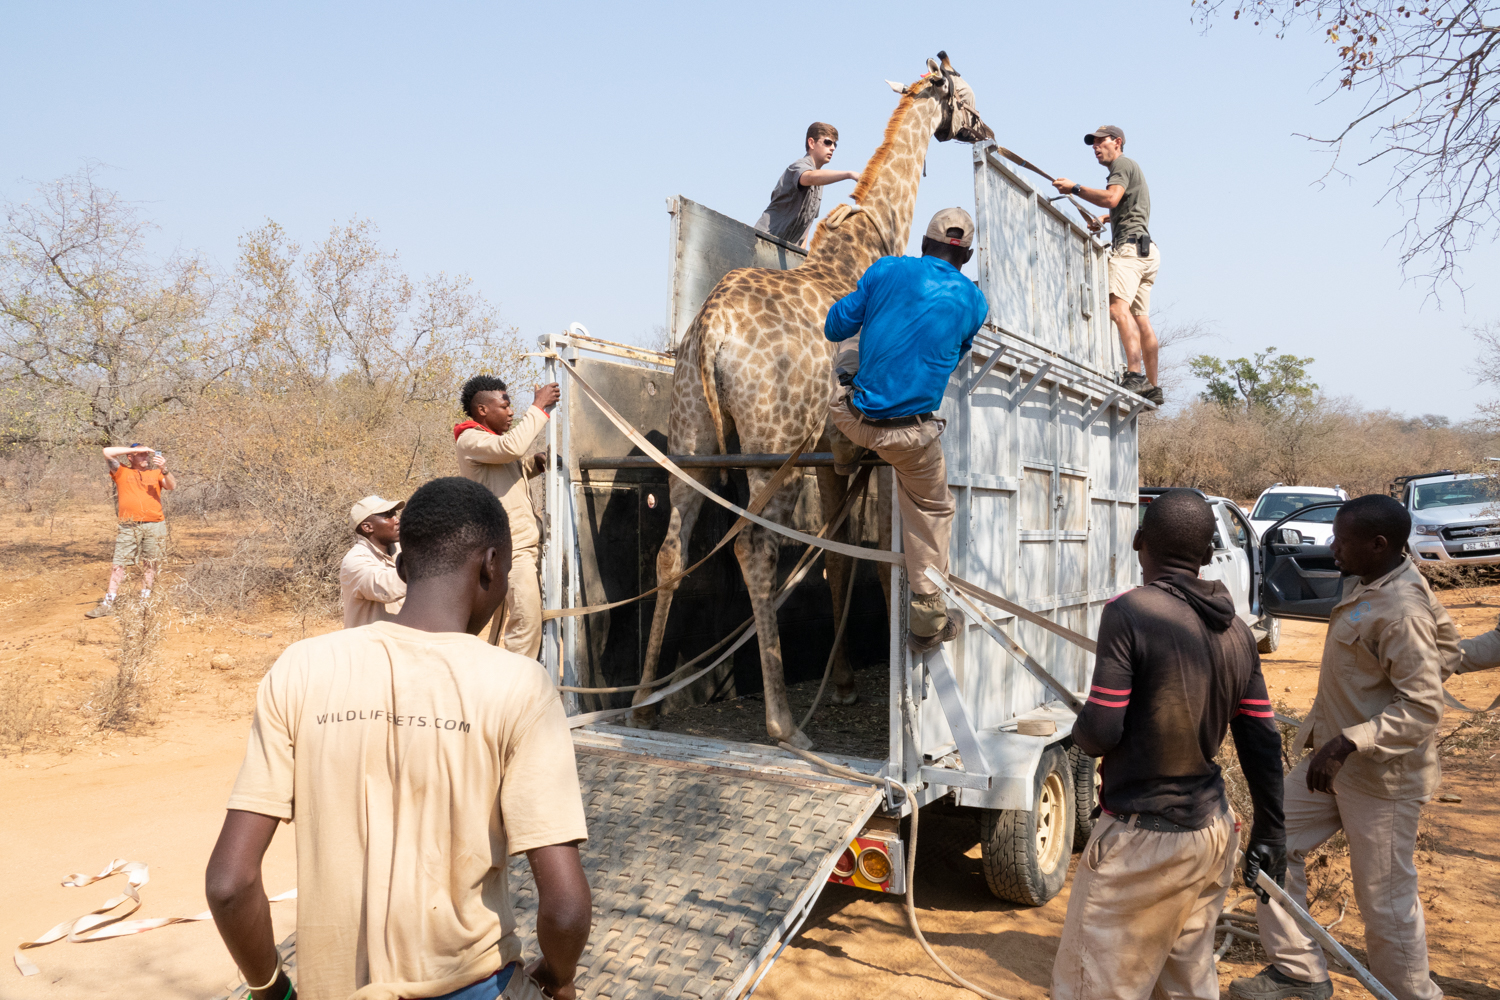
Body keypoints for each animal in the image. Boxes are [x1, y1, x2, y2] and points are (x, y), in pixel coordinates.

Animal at [633, 52, 994, 749]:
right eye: (963, 91)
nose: (985, 128)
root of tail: (710, 333)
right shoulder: (862, 453)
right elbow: (870, 559)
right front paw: (859, 685)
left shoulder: (833, 453)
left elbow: (837, 556)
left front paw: (845, 682)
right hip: (772, 448)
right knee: (755, 548)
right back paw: (782, 723)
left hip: (691, 441)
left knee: (671, 551)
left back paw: (641, 704)